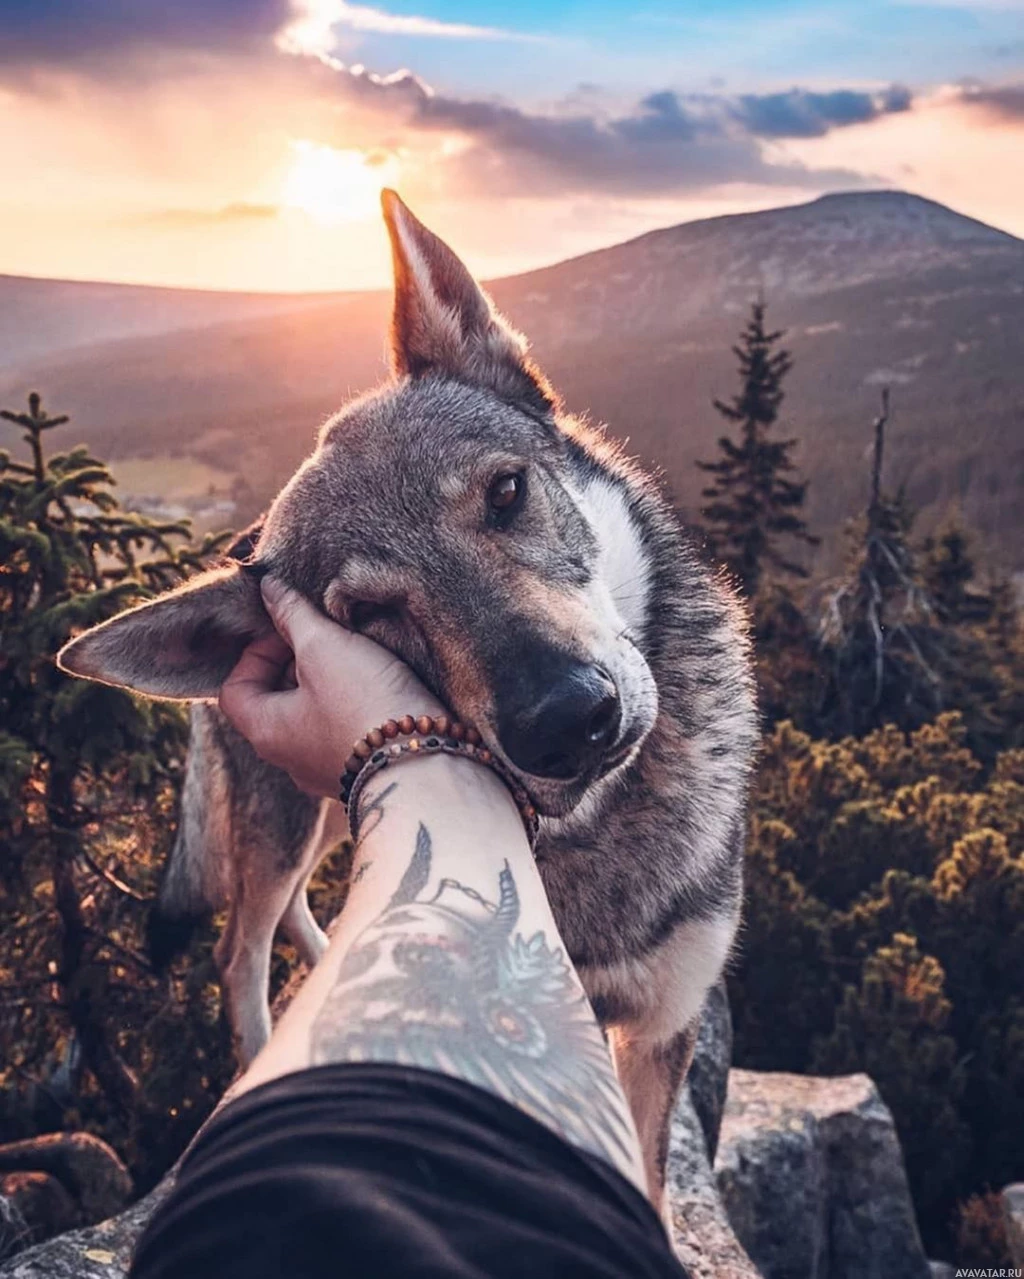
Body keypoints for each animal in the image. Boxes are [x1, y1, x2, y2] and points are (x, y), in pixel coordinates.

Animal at [60, 191, 756, 1207]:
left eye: (505, 491)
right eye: (369, 614)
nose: (566, 721)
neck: (596, 839)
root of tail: (231, 547)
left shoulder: (661, 1024)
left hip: (328, 815)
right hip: (284, 824)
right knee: (239, 949)